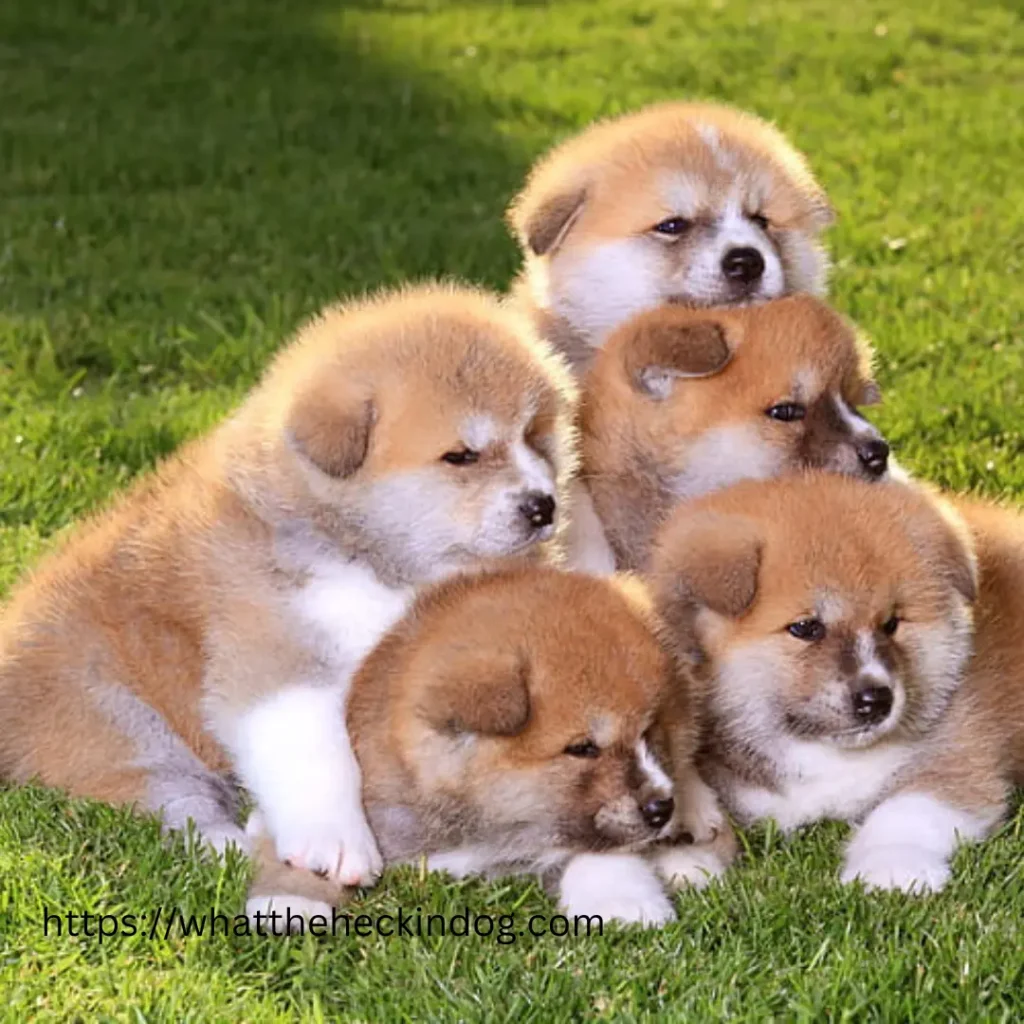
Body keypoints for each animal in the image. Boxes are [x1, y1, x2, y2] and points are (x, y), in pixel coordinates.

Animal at [0, 282, 577, 888]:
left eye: (535, 436)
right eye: (461, 456)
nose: (543, 506)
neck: (366, 557)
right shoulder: (280, 657)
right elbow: (319, 757)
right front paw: (338, 844)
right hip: (116, 721)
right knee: (171, 802)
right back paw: (230, 843)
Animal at [243, 565, 733, 933]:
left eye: (649, 732)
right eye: (583, 748)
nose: (660, 809)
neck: (487, 831)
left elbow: (603, 850)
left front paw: (621, 902)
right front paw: (290, 900)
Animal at [647, 475, 1024, 892]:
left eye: (891, 623)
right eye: (806, 628)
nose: (877, 699)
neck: (818, 753)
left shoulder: (960, 750)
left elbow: (905, 810)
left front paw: (891, 867)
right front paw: (686, 856)